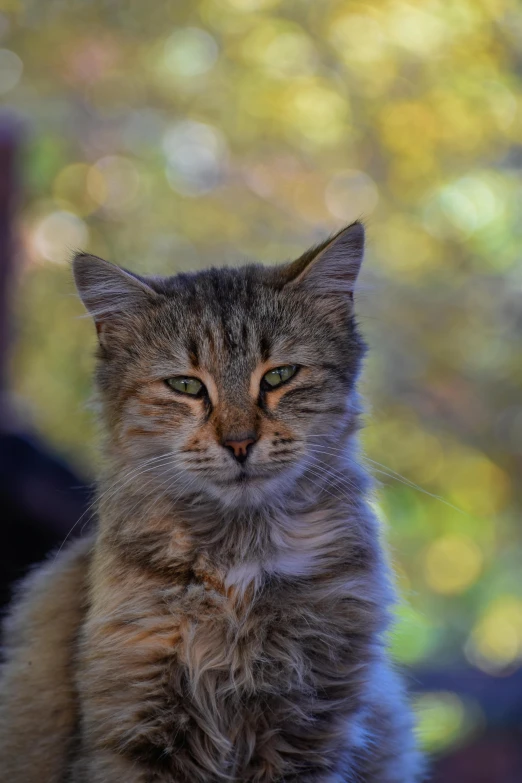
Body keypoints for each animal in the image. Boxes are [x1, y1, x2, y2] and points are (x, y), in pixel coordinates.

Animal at [0, 222, 418, 783]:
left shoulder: (310, 726)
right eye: (185, 386)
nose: (239, 443)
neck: (239, 567)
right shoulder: (137, 728)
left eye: (279, 376)